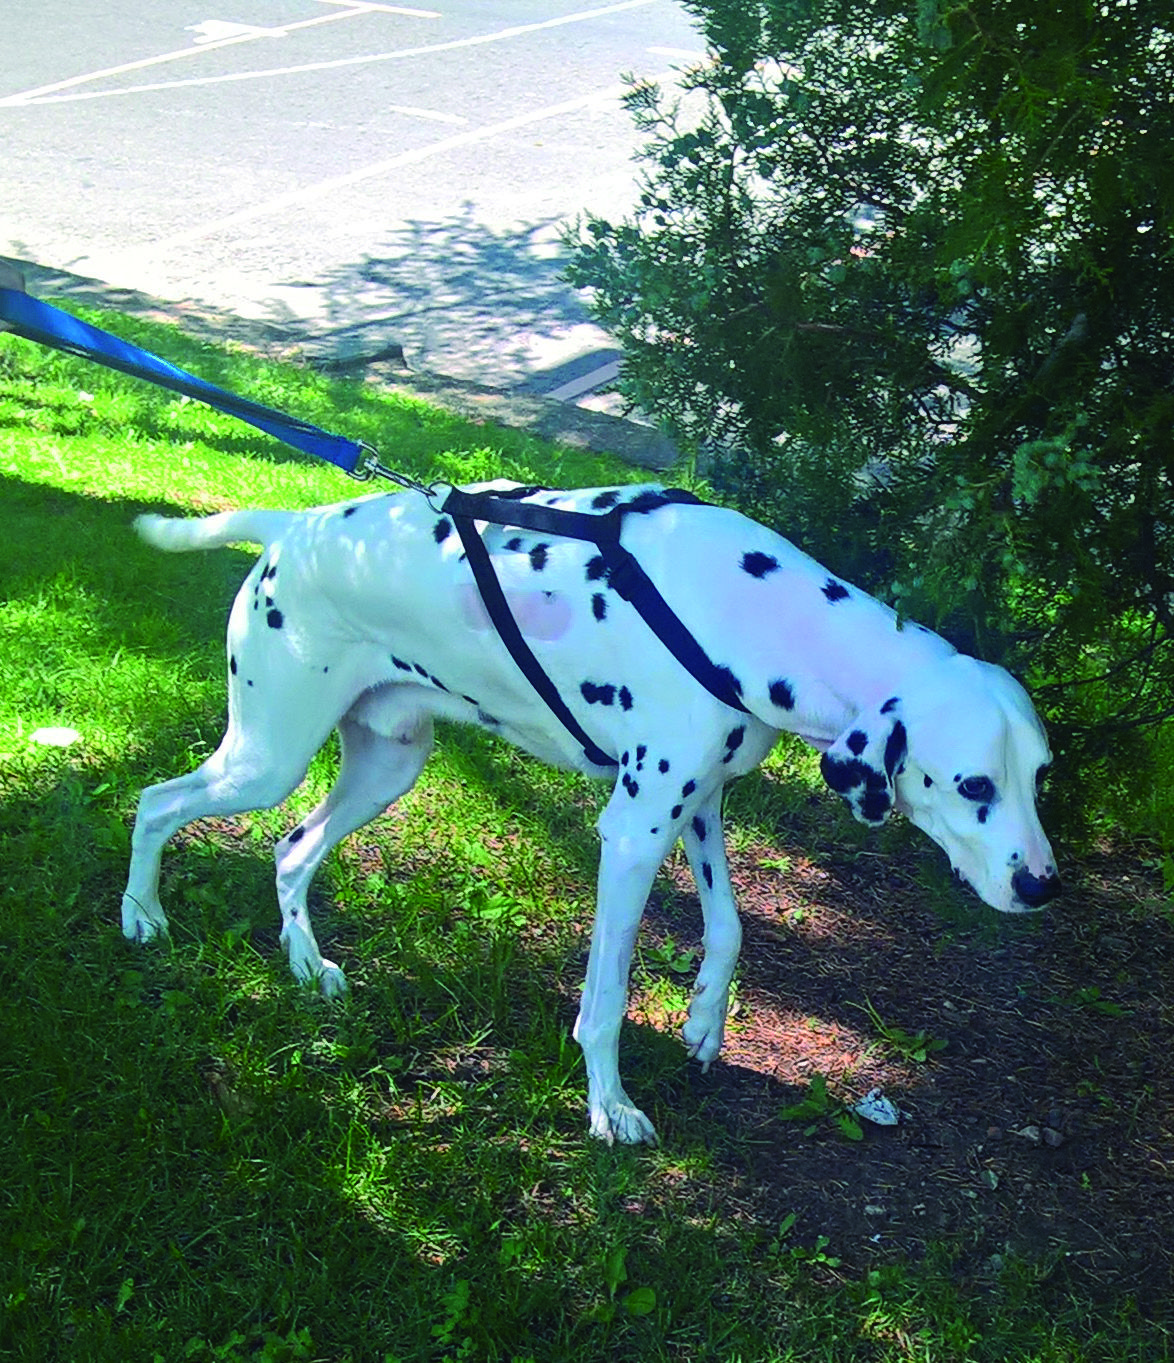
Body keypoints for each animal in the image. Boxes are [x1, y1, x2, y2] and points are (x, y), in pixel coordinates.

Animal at [123, 485, 1058, 1144]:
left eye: (1041, 776)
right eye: (975, 785)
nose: (1044, 887)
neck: (759, 616)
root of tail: (299, 525)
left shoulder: (700, 804)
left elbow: (729, 927)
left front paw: (704, 1020)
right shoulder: (634, 833)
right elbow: (605, 998)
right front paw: (608, 1106)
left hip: (384, 765)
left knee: (290, 848)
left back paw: (305, 964)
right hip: (267, 756)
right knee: (155, 801)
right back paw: (141, 916)